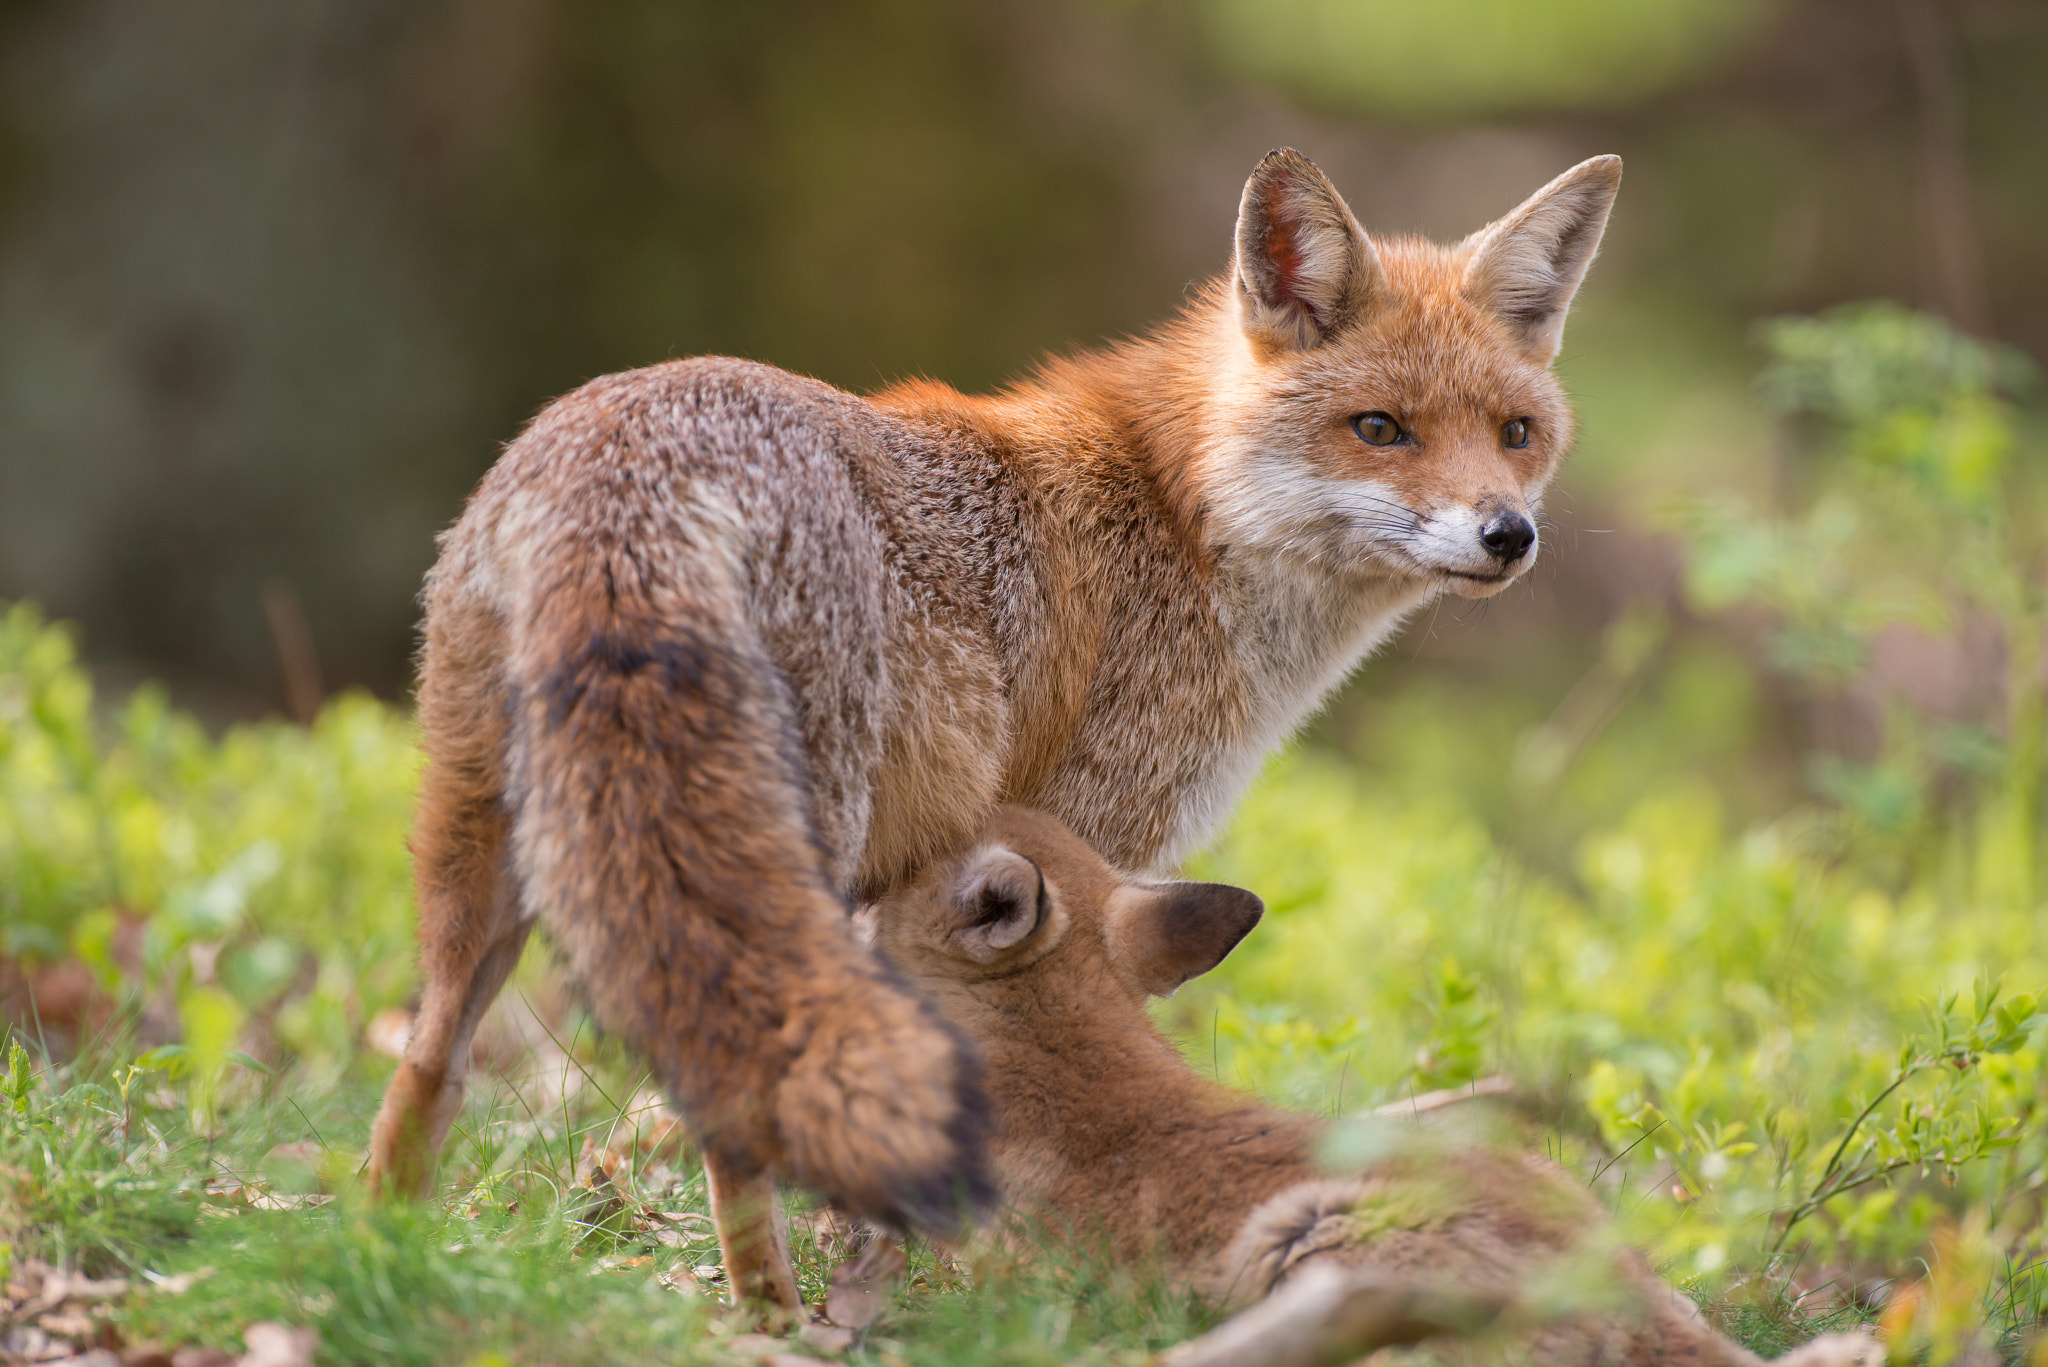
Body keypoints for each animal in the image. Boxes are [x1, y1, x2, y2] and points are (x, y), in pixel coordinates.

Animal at [364, 147, 1622, 1309]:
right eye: (1379, 428)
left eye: (1514, 432)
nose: (1506, 534)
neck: (1185, 520)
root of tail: (633, 463)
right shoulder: (1078, 841)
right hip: (784, 842)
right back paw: (770, 1306)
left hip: (482, 849)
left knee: (429, 1058)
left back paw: (387, 1250)